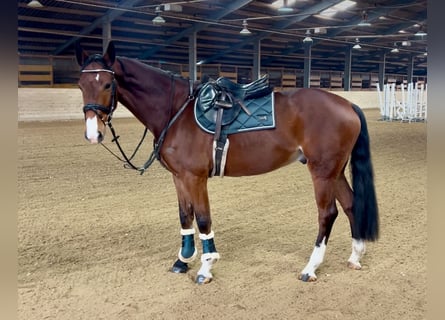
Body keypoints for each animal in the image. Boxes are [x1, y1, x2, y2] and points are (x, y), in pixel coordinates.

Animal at [74, 41, 376, 284]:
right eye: (81, 85)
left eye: (108, 84)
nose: (93, 133)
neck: (177, 111)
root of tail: (347, 105)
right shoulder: (179, 177)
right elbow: (185, 216)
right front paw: (182, 261)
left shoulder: (195, 177)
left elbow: (203, 219)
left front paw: (205, 268)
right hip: (335, 170)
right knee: (351, 204)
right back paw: (355, 256)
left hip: (322, 171)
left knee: (327, 213)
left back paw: (310, 268)